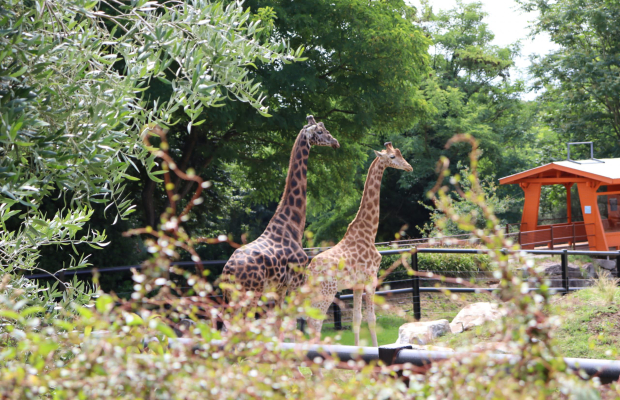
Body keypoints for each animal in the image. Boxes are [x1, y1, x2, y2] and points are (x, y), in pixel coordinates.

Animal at [222, 115, 340, 310]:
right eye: (320, 131)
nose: (335, 142)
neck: (293, 225)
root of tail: (227, 271)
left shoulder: (279, 288)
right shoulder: (296, 281)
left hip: (230, 297)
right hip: (251, 293)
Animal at [306, 142, 412, 346]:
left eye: (400, 154)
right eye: (392, 157)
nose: (409, 167)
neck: (369, 233)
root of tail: (310, 270)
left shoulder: (356, 284)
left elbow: (357, 318)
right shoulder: (371, 277)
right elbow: (371, 318)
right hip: (327, 291)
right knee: (315, 323)